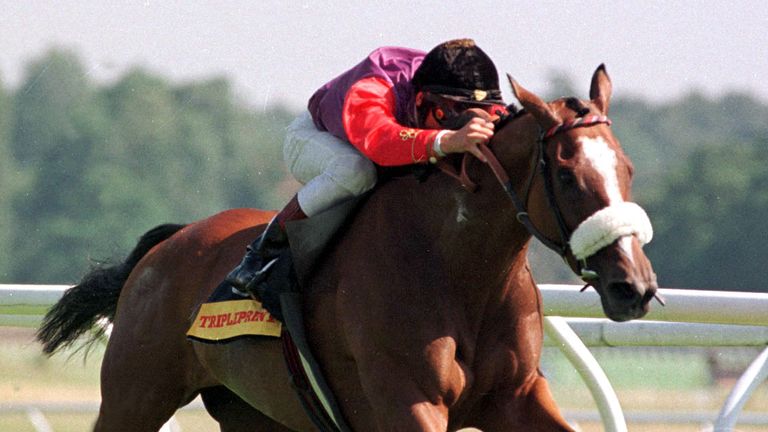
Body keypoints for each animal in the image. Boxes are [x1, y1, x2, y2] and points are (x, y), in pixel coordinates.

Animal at [37, 65, 660, 432]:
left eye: (628, 168)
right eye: (568, 176)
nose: (634, 286)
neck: (458, 270)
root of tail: (165, 248)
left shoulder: (517, 397)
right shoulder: (408, 401)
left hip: (256, 412)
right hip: (135, 395)